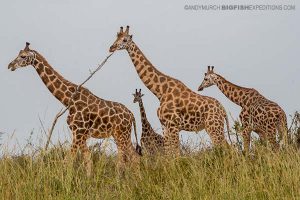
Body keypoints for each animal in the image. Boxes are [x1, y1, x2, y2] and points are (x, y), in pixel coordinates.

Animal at [7, 42, 142, 175]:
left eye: (23, 56)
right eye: (19, 53)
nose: (10, 65)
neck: (68, 100)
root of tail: (132, 115)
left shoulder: (79, 133)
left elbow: (68, 160)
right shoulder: (79, 134)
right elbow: (87, 159)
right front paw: (87, 179)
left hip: (122, 134)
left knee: (125, 159)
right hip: (120, 135)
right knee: (133, 157)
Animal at [109, 26, 231, 155]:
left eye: (125, 40)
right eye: (116, 37)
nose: (111, 47)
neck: (160, 91)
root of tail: (223, 110)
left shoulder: (173, 125)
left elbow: (176, 152)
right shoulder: (165, 126)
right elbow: (169, 153)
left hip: (214, 126)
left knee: (226, 147)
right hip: (212, 127)